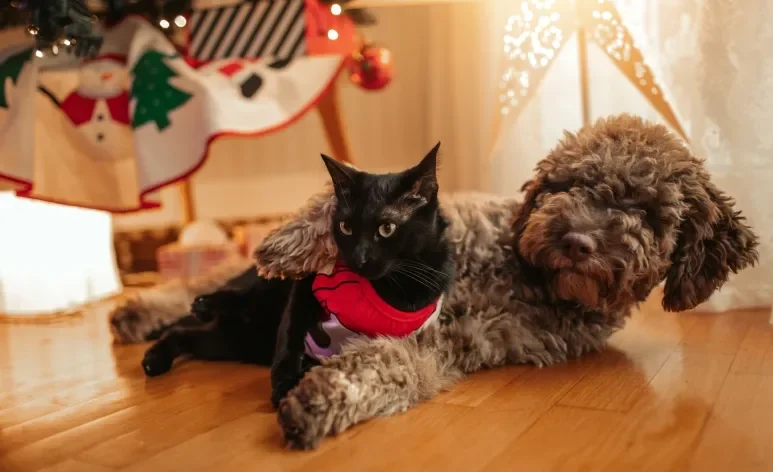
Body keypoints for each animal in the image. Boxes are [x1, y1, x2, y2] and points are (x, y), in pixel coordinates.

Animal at [140, 143, 452, 406]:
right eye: (346, 227)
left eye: (386, 228)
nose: (359, 258)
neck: (383, 286)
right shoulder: (305, 287)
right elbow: (289, 335)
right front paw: (284, 383)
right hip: (258, 302)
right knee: (228, 303)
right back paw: (201, 308)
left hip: (236, 342)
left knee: (185, 334)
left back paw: (157, 358)